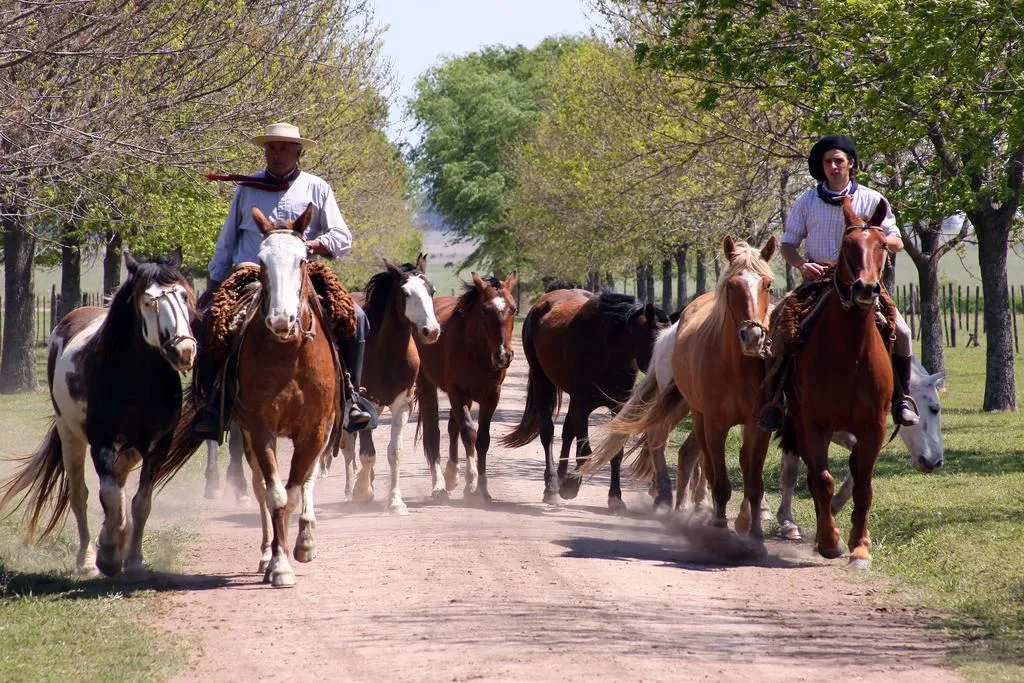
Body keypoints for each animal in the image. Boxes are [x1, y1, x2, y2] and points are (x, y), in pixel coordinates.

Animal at [0, 254, 195, 577]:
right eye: (148, 301)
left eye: (183, 295)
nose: (185, 350)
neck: (137, 381)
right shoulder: (102, 445)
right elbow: (109, 497)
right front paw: (109, 555)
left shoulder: (158, 446)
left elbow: (140, 502)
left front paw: (133, 558)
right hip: (70, 436)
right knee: (80, 495)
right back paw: (87, 560)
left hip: (130, 450)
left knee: (120, 486)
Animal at [329, 255, 438, 511]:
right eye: (405, 292)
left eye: (432, 290)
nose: (431, 331)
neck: (386, 353)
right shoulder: (366, 403)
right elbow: (367, 453)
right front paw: (362, 491)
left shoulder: (402, 404)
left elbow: (394, 452)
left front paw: (395, 501)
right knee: (349, 448)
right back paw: (351, 489)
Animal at [413, 272, 516, 501]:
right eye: (485, 310)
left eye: (513, 308)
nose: (503, 355)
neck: (476, 351)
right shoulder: (457, 392)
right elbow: (469, 433)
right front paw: (471, 483)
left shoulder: (491, 396)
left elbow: (483, 439)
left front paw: (482, 488)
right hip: (428, 387)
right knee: (434, 433)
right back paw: (439, 486)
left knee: (453, 427)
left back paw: (452, 475)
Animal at [499, 286, 667, 507]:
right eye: (655, 339)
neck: (608, 350)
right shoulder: (582, 404)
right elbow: (586, 450)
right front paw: (571, 486)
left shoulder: (618, 407)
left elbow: (614, 451)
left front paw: (615, 497)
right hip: (542, 380)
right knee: (548, 432)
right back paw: (552, 486)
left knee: (567, 432)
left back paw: (562, 476)